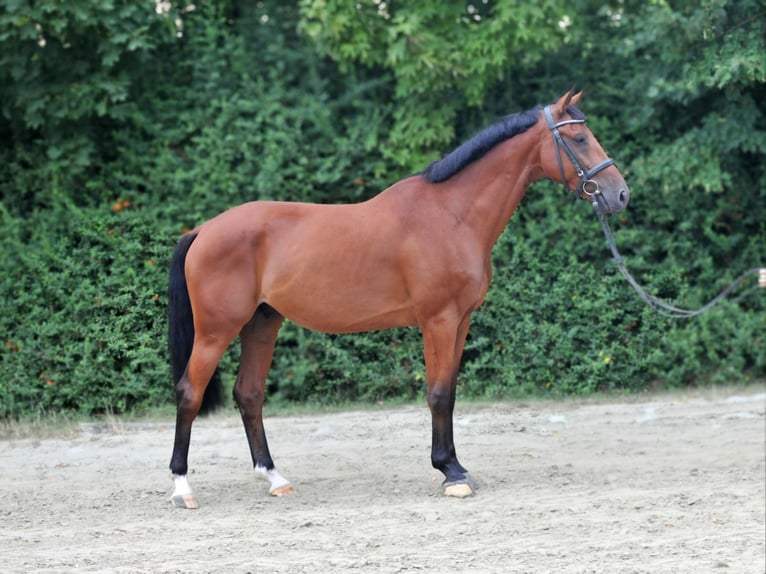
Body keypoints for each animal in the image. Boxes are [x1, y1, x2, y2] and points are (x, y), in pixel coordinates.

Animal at [171, 90, 632, 508]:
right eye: (578, 139)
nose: (620, 194)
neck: (452, 215)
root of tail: (204, 230)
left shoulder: (461, 321)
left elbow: (450, 391)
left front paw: (456, 467)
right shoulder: (438, 320)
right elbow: (438, 393)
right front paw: (451, 474)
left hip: (262, 323)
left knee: (249, 394)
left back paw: (274, 478)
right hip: (215, 331)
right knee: (189, 392)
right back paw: (182, 488)